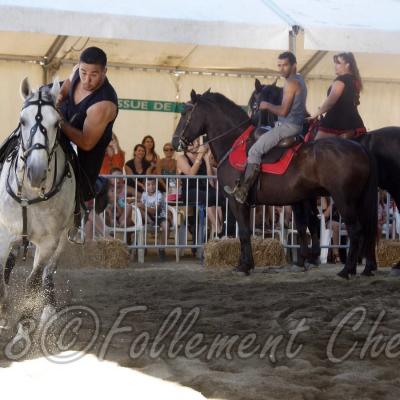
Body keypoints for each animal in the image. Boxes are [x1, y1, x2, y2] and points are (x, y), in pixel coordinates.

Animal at [0, 77, 75, 324]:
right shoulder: (4, 234)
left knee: (48, 274)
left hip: (62, 238)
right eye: (22, 121)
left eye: (57, 123)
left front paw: (25, 322)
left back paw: (48, 311)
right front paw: (3, 311)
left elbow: (32, 282)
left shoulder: (48, 242)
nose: (36, 171)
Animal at [173, 90, 378, 278]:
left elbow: (244, 233)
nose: (175, 142)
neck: (234, 143)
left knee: (355, 230)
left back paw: (347, 270)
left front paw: (245, 266)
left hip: (344, 200)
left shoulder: (236, 202)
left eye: (184, 113)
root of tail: (360, 148)